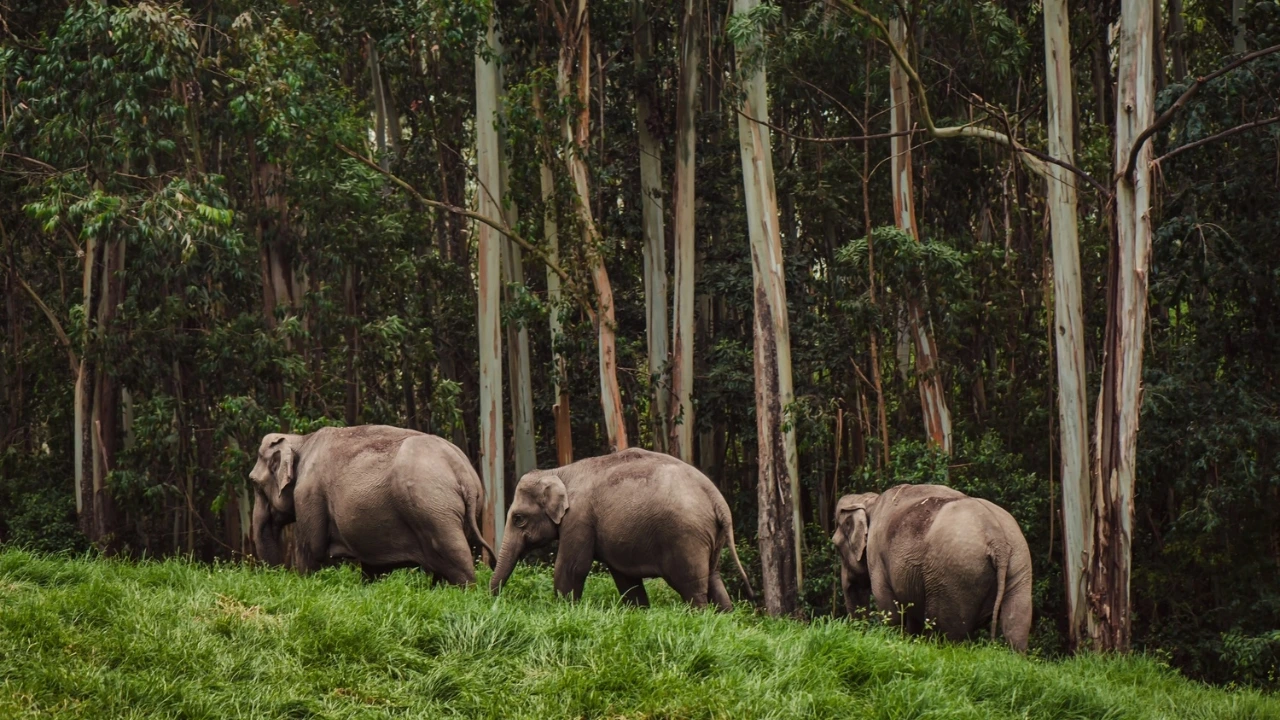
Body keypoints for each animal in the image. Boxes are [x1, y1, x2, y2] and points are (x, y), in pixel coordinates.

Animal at [248, 425, 496, 585]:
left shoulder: (309, 494)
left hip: (434, 509)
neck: (302, 440)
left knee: (456, 559)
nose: (276, 576)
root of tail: (463, 472)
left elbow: (312, 552)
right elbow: (372, 567)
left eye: (254, 484)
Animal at [488, 448, 754, 610]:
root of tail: (717, 499)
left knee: (692, 586)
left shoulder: (579, 518)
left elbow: (573, 567)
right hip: (711, 537)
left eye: (518, 519)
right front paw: (639, 612)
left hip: (686, 537)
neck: (558, 471)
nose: (494, 600)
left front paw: (563, 609)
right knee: (714, 579)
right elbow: (625, 578)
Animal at [831, 483, 1033, 652]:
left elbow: (889, 610)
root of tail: (997, 538)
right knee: (1016, 624)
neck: (871, 500)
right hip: (1019, 562)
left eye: (835, 546)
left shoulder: (877, 557)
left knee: (947, 631)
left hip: (954, 575)